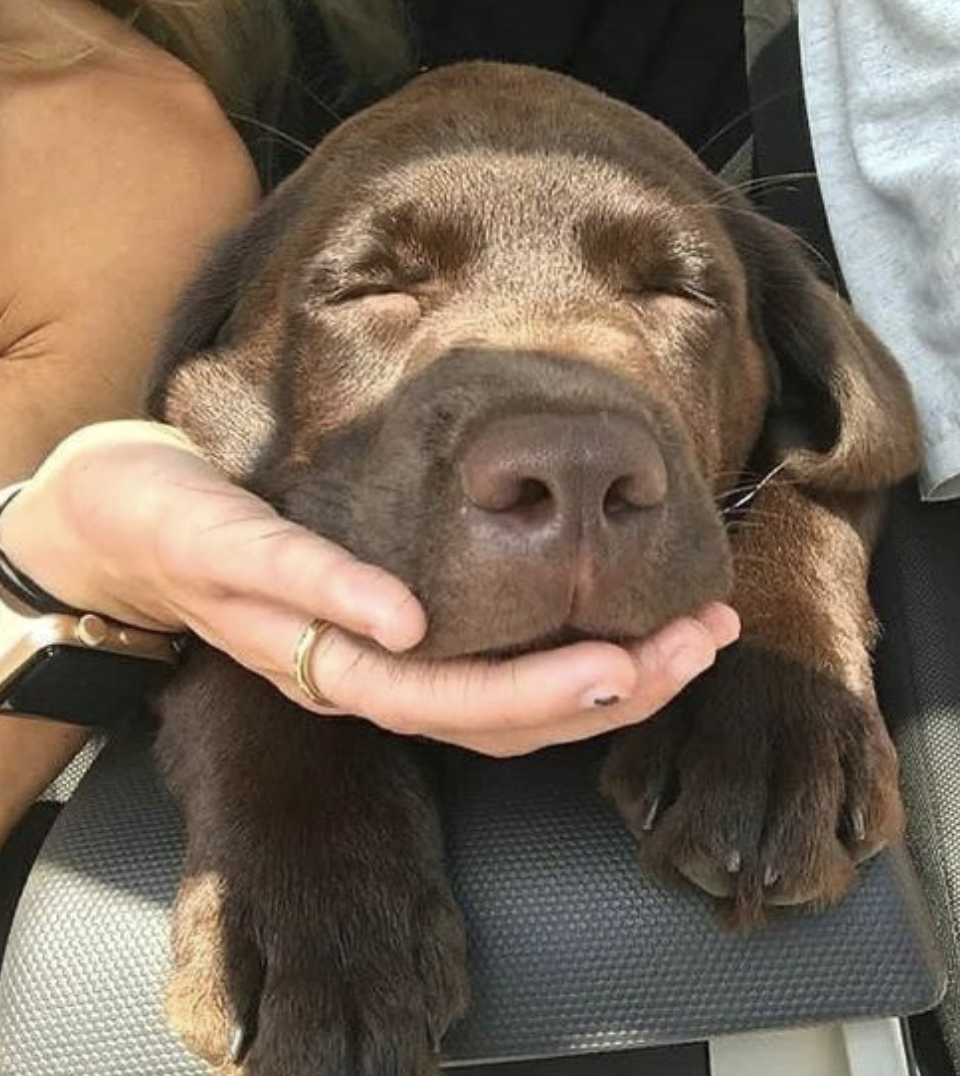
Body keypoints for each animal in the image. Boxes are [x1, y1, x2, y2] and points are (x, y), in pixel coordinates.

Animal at [149, 62, 919, 1075]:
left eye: (678, 291)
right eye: (369, 289)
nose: (575, 468)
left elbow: (813, 481)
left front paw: (770, 727)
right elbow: (250, 661)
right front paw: (321, 923)